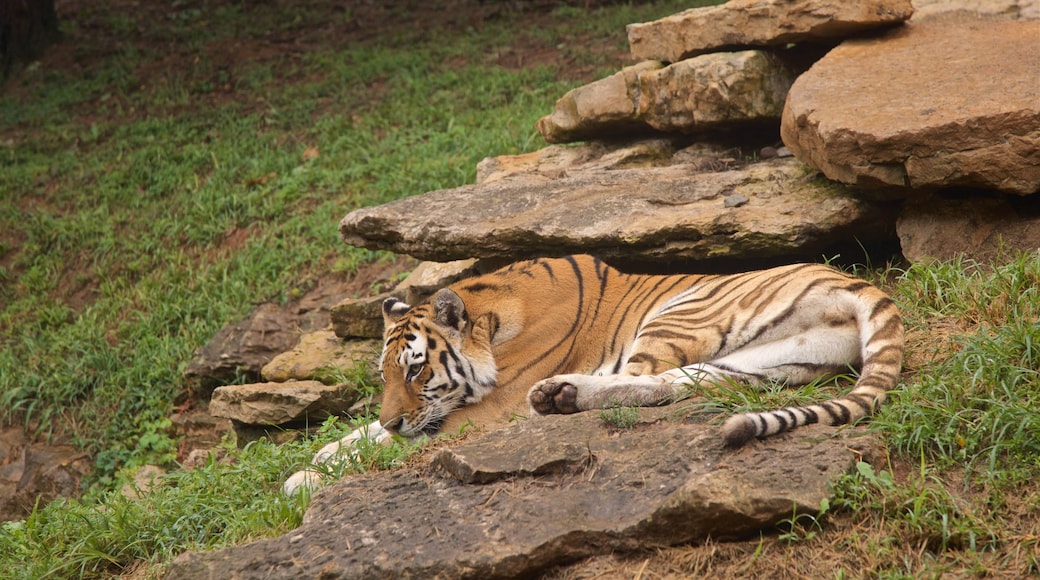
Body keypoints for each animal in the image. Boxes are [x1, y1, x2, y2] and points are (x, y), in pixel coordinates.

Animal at [280, 254, 898, 494]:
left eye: (415, 371)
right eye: (384, 376)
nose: (394, 416)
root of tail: (856, 282)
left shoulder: (481, 412)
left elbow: (389, 446)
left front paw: (302, 478)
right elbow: (365, 435)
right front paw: (320, 453)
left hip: (681, 311)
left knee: (646, 377)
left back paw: (552, 398)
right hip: (756, 364)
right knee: (667, 387)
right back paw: (562, 396)